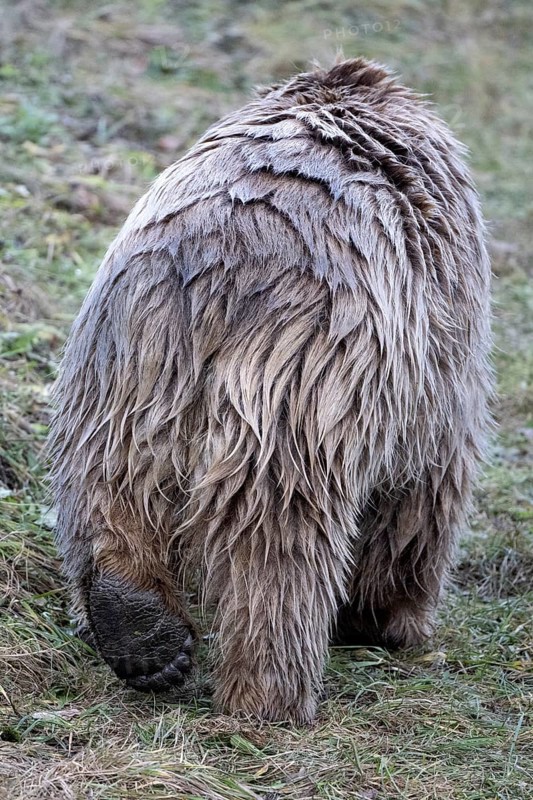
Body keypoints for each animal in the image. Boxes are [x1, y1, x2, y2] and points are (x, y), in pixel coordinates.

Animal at [48, 58, 492, 723]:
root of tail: (221, 257)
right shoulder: (434, 361)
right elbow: (423, 491)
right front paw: (386, 618)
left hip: (125, 357)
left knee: (107, 477)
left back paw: (141, 631)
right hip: (302, 383)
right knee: (276, 541)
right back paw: (267, 696)